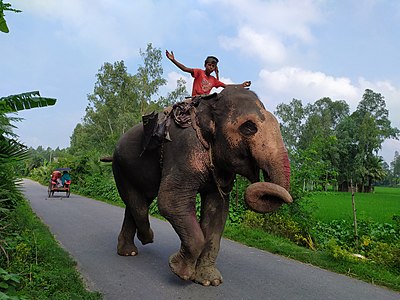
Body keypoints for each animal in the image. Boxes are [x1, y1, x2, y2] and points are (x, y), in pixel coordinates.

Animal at [108, 86, 292, 286]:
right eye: (249, 127)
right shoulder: (184, 148)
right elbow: (170, 201)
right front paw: (179, 271)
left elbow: (217, 210)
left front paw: (209, 281)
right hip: (119, 166)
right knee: (138, 203)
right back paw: (146, 238)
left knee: (138, 202)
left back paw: (130, 251)